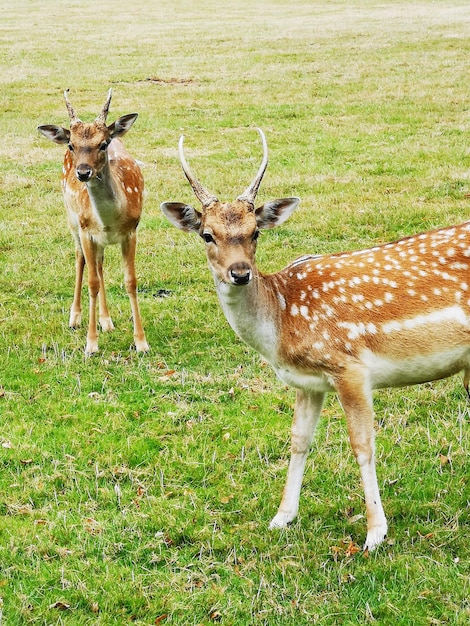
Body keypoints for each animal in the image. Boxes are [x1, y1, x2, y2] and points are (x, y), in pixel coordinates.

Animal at [38, 91, 149, 356]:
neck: (110, 220)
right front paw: (91, 344)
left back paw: (106, 321)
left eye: (103, 144)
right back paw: (75, 318)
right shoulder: (87, 231)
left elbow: (130, 281)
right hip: (72, 221)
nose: (83, 172)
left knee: (99, 264)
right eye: (72, 145)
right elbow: (91, 283)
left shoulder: (131, 231)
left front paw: (141, 342)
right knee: (81, 260)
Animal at [160, 129, 468, 548]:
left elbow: (362, 446)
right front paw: (281, 517)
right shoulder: (307, 382)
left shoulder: (349, 366)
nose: (239, 272)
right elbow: (298, 440)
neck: (282, 323)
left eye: (255, 231)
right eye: (207, 235)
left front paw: (375, 533)